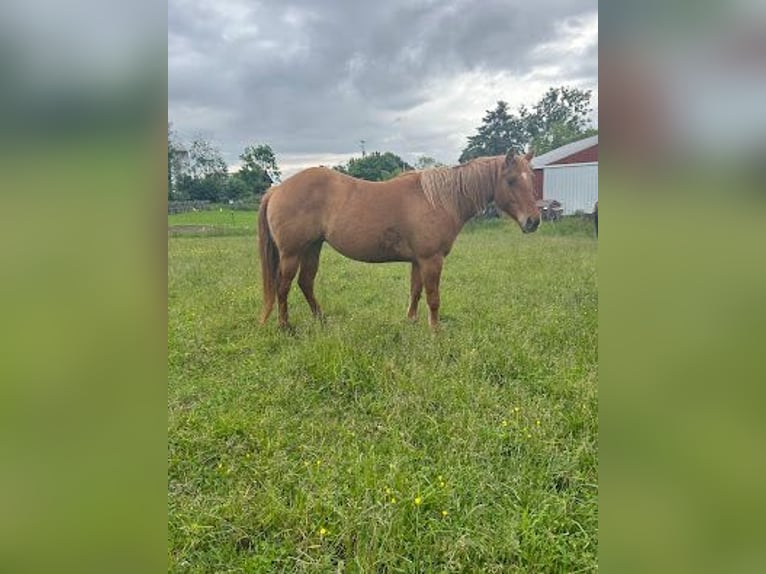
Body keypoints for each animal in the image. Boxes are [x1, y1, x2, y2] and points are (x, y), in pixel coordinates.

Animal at [258, 149, 540, 329]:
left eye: (532, 179)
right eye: (511, 180)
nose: (533, 221)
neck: (438, 199)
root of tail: (277, 190)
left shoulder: (418, 261)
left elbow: (415, 291)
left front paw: (411, 321)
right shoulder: (431, 260)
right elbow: (433, 297)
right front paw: (435, 331)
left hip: (312, 248)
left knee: (305, 283)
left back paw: (322, 320)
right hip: (291, 253)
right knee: (283, 286)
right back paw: (285, 326)